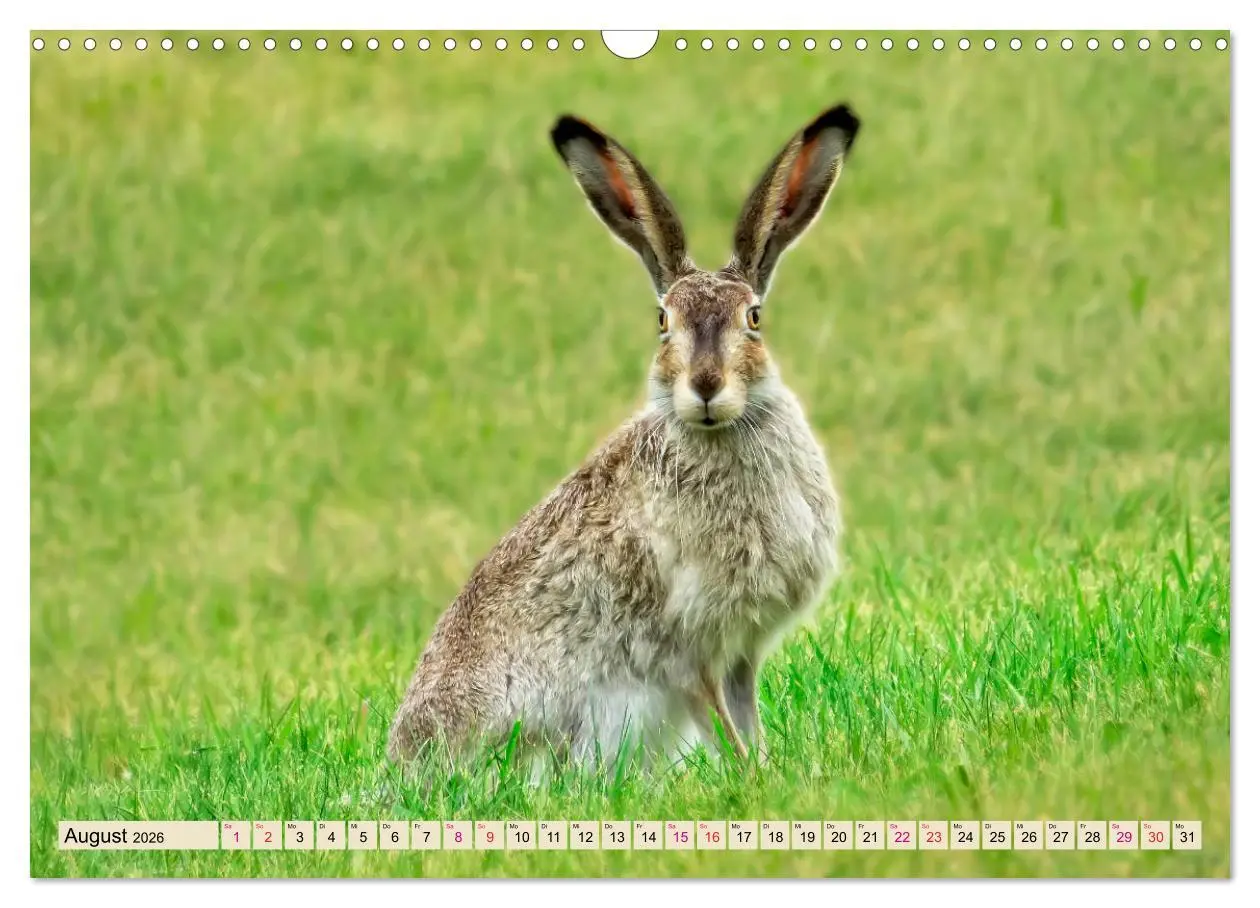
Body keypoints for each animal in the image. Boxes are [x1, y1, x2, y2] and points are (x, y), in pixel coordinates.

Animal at [388, 103, 860, 771]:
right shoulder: (688, 651)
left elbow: (746, 718)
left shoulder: (740, 651)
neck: (719, 431)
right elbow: (721, 722)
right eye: (663, 322)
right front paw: (751, 777)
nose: (705, 386)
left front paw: (768, 771)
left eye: (754, 319)